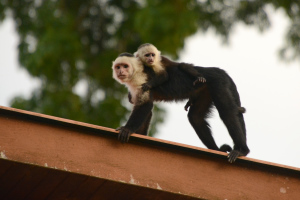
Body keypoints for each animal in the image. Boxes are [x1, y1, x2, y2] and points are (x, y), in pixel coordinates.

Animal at [112, 48, 248, 162]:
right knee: (195, 117)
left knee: (227, 113)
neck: (136, 71)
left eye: (125, 66)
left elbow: (145, 106)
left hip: (219, 82)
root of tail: (217, 70)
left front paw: (127, 129)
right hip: (205, 90)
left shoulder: (141, 80)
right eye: (118, 67)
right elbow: (147, 111)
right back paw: (216, 149)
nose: (120, 71)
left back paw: (241, 151)